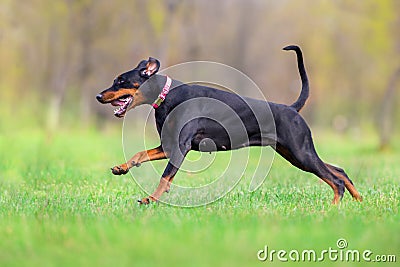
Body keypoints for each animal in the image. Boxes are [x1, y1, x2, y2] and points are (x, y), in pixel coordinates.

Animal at [96, 46, 362, 205]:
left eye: (120, 81)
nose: (99, 96)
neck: (167, 95)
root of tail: (292, 108)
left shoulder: (180, 148)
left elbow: (165, 177)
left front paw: (150, 200)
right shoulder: (169, 146)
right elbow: (140, 154)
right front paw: (121, 168)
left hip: (301, 152)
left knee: (335, 179)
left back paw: (332, 209)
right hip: (294, 154)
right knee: (340, 171)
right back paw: (358, 201)